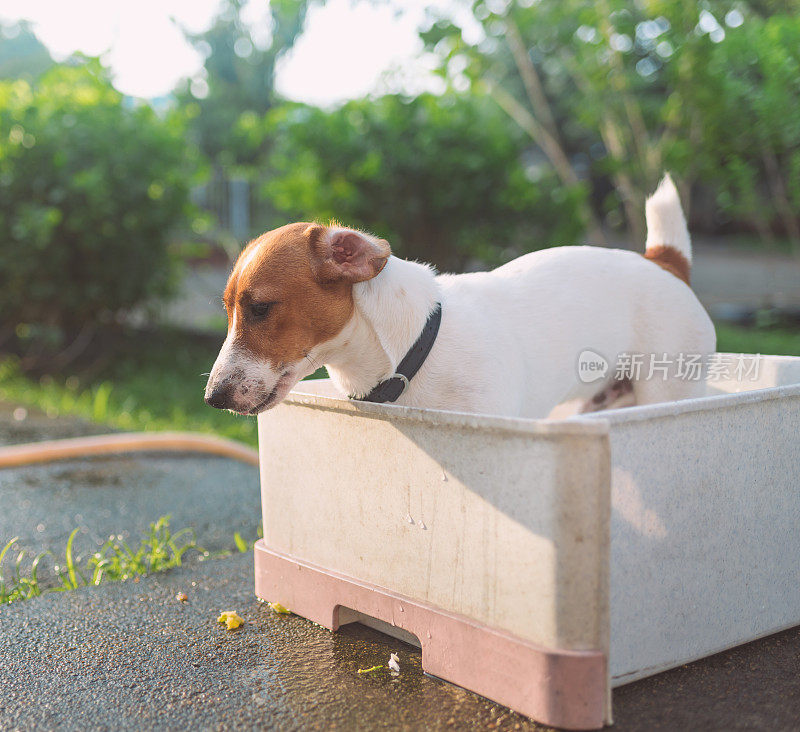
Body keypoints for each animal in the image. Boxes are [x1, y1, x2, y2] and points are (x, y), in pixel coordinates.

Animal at [205, 172, 712, 420]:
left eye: (261, 308)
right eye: (228, 311)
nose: (212, 397)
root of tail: (662, 260)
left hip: (669, 389)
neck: (408, 355)